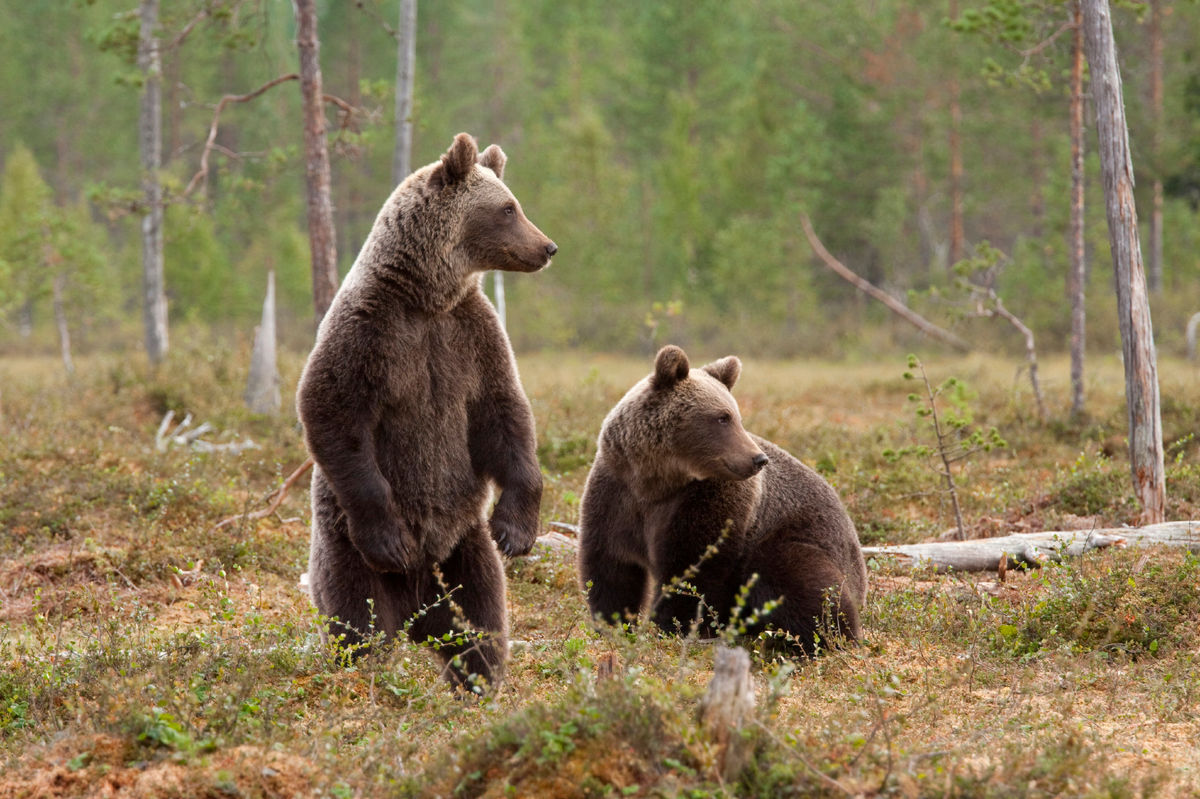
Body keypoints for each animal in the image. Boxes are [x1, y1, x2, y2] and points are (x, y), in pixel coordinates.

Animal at [295, 130, 556, 686]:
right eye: (508, 208)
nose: (547, 247)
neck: (426, 296)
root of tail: (419, 613)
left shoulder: (471, 335)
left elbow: (504, 414)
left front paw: (515, 529)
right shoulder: (370, 331)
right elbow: (333, 410)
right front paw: (390, 536)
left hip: (463, 552)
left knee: (481, 621)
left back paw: (478, 679)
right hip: (344, 549)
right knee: (359, 623)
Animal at [578, 345, 868, 652]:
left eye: (735, 416)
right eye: (722, 417)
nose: (757, 459)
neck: (657, 481)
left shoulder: (708, 501)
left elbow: (693, 568)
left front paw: (671, 627)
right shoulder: (617, 494)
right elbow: (612, 567)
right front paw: (615, 624)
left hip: (798, 537)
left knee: (802, 582)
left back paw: (824, 637)